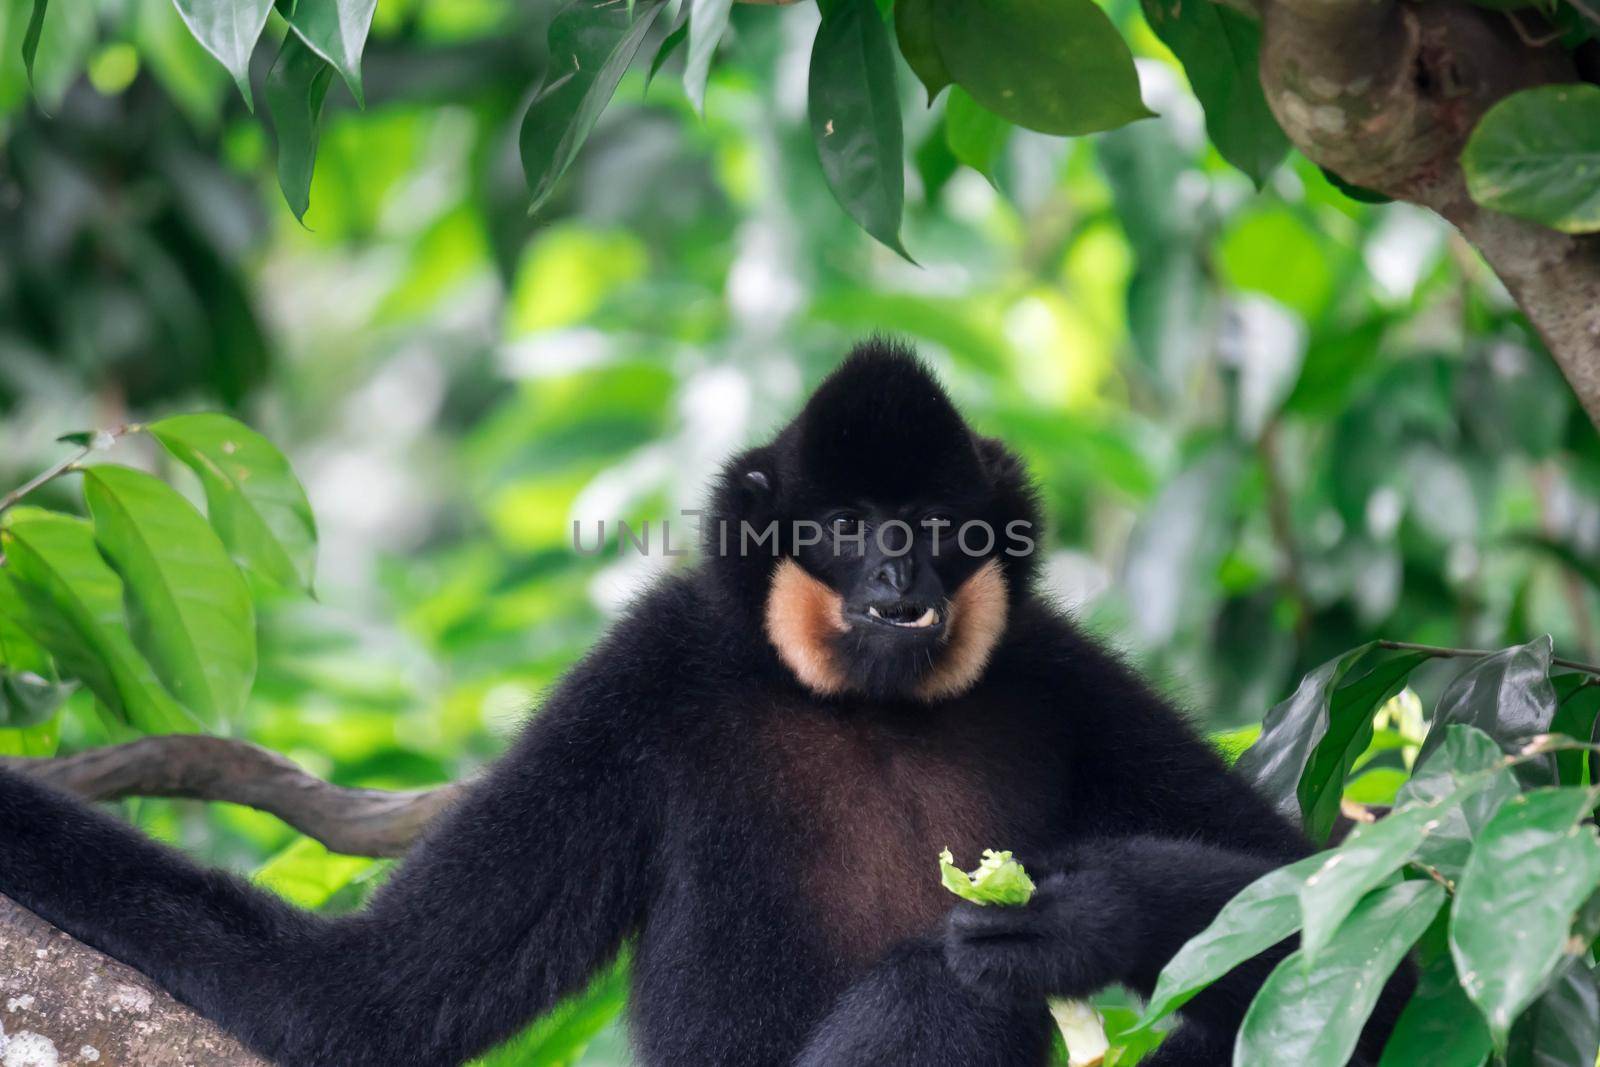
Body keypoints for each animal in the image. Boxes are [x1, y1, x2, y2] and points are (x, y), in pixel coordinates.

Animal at [0, 343, 1401, 1067]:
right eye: (849, 525)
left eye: (935, 526)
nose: (896, 579)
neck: (867, 711)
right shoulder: (644, 677)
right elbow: (359, 999)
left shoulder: (1057, 671)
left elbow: (1330, 907)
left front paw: (1083, 911)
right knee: (935, 985)